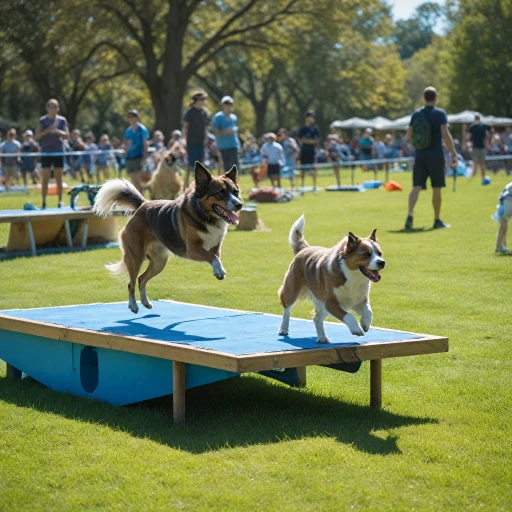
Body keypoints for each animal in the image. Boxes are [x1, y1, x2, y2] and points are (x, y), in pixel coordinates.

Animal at [93, 162, 242, 314]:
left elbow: (215, 256)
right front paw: (219, 270)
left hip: (159, 262)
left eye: (236, 192)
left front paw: (218, 269)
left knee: (141, 279)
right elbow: (212, 257)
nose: (239, 205)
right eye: (220, 193)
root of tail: (143, 204)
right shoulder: (192, 249)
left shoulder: (215, 247)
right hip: (135, 258)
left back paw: (145, 302)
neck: (205, 216)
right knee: (132, 283)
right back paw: (133, 305)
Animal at [280, 214, 384, 342]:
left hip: (321, 303)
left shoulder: (358, 301)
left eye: (380, 253)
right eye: (366, 254)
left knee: (317, 318)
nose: (382, 262)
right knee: (287, 309)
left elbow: (368, 311)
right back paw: (283, 329)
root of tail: (306, 248)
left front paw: (365, 323)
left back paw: (322, 337)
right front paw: (357, 329)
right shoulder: (331, 303)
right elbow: (348, 315)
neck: (353, 277)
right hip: (292, 291)